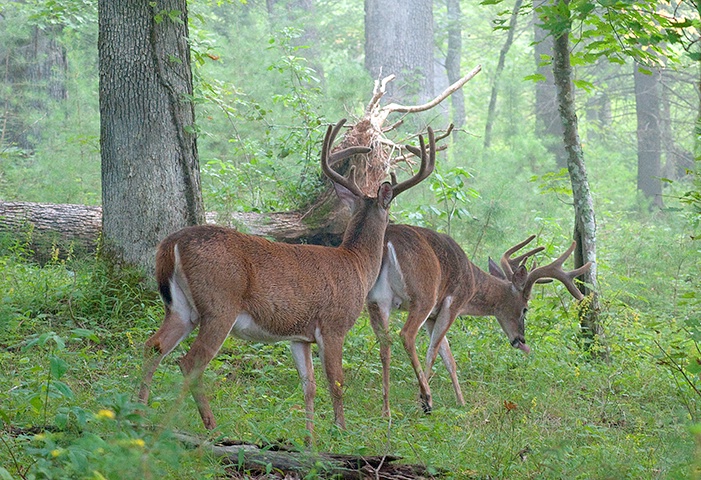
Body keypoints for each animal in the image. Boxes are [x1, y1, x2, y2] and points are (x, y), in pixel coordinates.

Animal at [137, 119, 434, 436]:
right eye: (389, 211)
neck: (357, 264)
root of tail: (172, 244)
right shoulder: (334, 324)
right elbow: (336, 382)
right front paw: (340, 430)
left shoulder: (300, 337)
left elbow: (310, 387)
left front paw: (310, 438)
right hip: (219, 304)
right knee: (189, 362)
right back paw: (203, 426)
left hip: (180, 308)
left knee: (153, 346)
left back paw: (140, 411)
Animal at [366, 226, 592, 416]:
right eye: (525, 308)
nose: (521, 340)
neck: (473, 283)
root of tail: (388, 241)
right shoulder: (452, 303)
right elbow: (434, 352)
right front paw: (424, 399)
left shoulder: (433, 315)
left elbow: (448, 358)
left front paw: (461, 402)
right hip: (423, 296)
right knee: (406, 335)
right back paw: (425, 399)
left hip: (377, 299)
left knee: (385, 343)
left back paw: (386, 411)